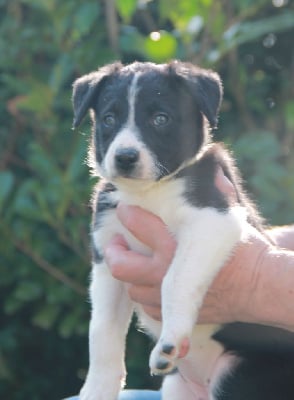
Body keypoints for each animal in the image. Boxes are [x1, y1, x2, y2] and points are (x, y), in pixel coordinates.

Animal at [72, 61, 294, 400]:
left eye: (160, 119)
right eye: (109, 119)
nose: (124, 157)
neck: (148, 193)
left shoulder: (213, 220)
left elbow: (174, 279)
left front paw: (170, 341)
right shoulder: (108, 257)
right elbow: (101, 329)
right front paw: (97, 389)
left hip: (236, 375)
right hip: (177, 387)